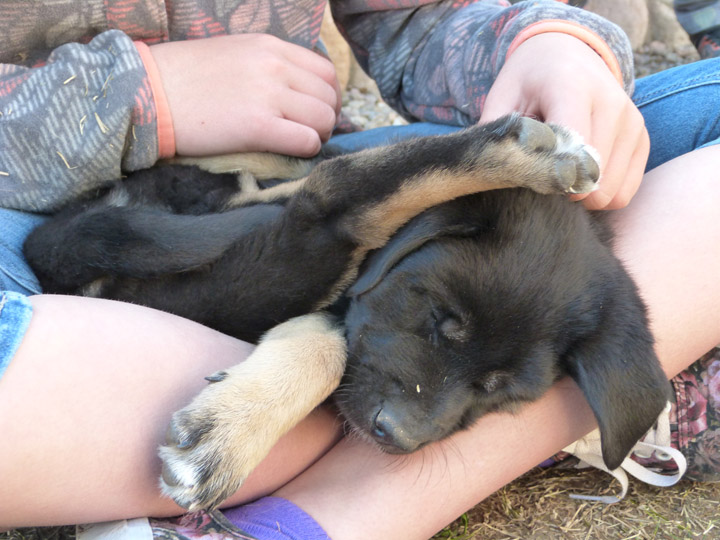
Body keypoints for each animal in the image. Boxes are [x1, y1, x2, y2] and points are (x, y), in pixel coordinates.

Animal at [25, 114, 672, 510]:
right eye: (437, 318)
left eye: (502, 391)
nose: (397, 437)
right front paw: (231, 431)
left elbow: (330, 341)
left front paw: (233, 426)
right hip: (285, 242)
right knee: (337, 189)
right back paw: (528, 154)